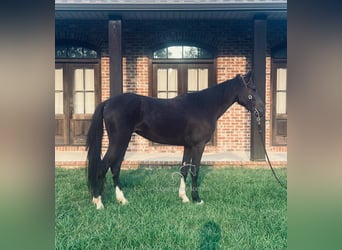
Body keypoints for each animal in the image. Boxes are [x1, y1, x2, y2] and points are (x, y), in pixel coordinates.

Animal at [86, 71, 264, 210]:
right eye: (253, 89)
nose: (262, 110)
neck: (203, 106)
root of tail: (107, 103)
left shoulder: (188, 146)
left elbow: (184, 169)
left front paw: (184, 197)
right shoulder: (198, 146)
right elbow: (194, 171)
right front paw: (197, 199)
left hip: (123, 142)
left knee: (115, 167)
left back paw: (121, 200)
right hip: (119, 141)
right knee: (103, 166)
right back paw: (99, 203)